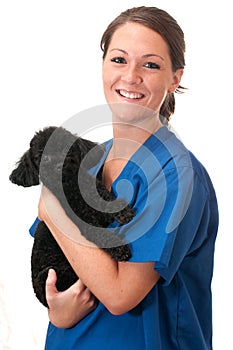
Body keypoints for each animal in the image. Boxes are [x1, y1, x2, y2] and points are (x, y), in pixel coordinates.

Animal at [10, 127, 134, 308]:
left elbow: (106, 198)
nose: (58, 166)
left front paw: (123, 212)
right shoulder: (85, 222)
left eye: (66, 149)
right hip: (50, 274)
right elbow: (101, 234)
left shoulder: (94, 190)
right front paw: (120, 249)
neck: (70, 186)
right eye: (43, 157)